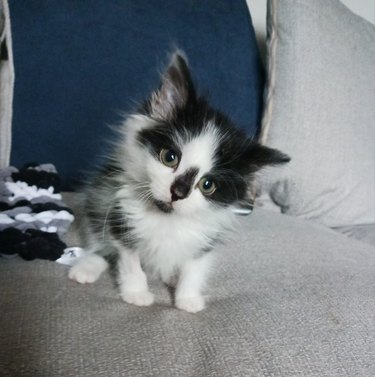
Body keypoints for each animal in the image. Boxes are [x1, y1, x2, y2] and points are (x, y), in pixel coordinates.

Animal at [68, 52, 290, 312]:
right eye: (170, 157)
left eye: (207, 184)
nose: (179, 192)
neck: (167, 218)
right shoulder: (119, 216)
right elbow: (129, 261)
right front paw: (136, 293)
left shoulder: (205, 238)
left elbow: (194, 268)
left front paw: (188, 299)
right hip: (98, 199)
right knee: (101, 245)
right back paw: (86, 268)